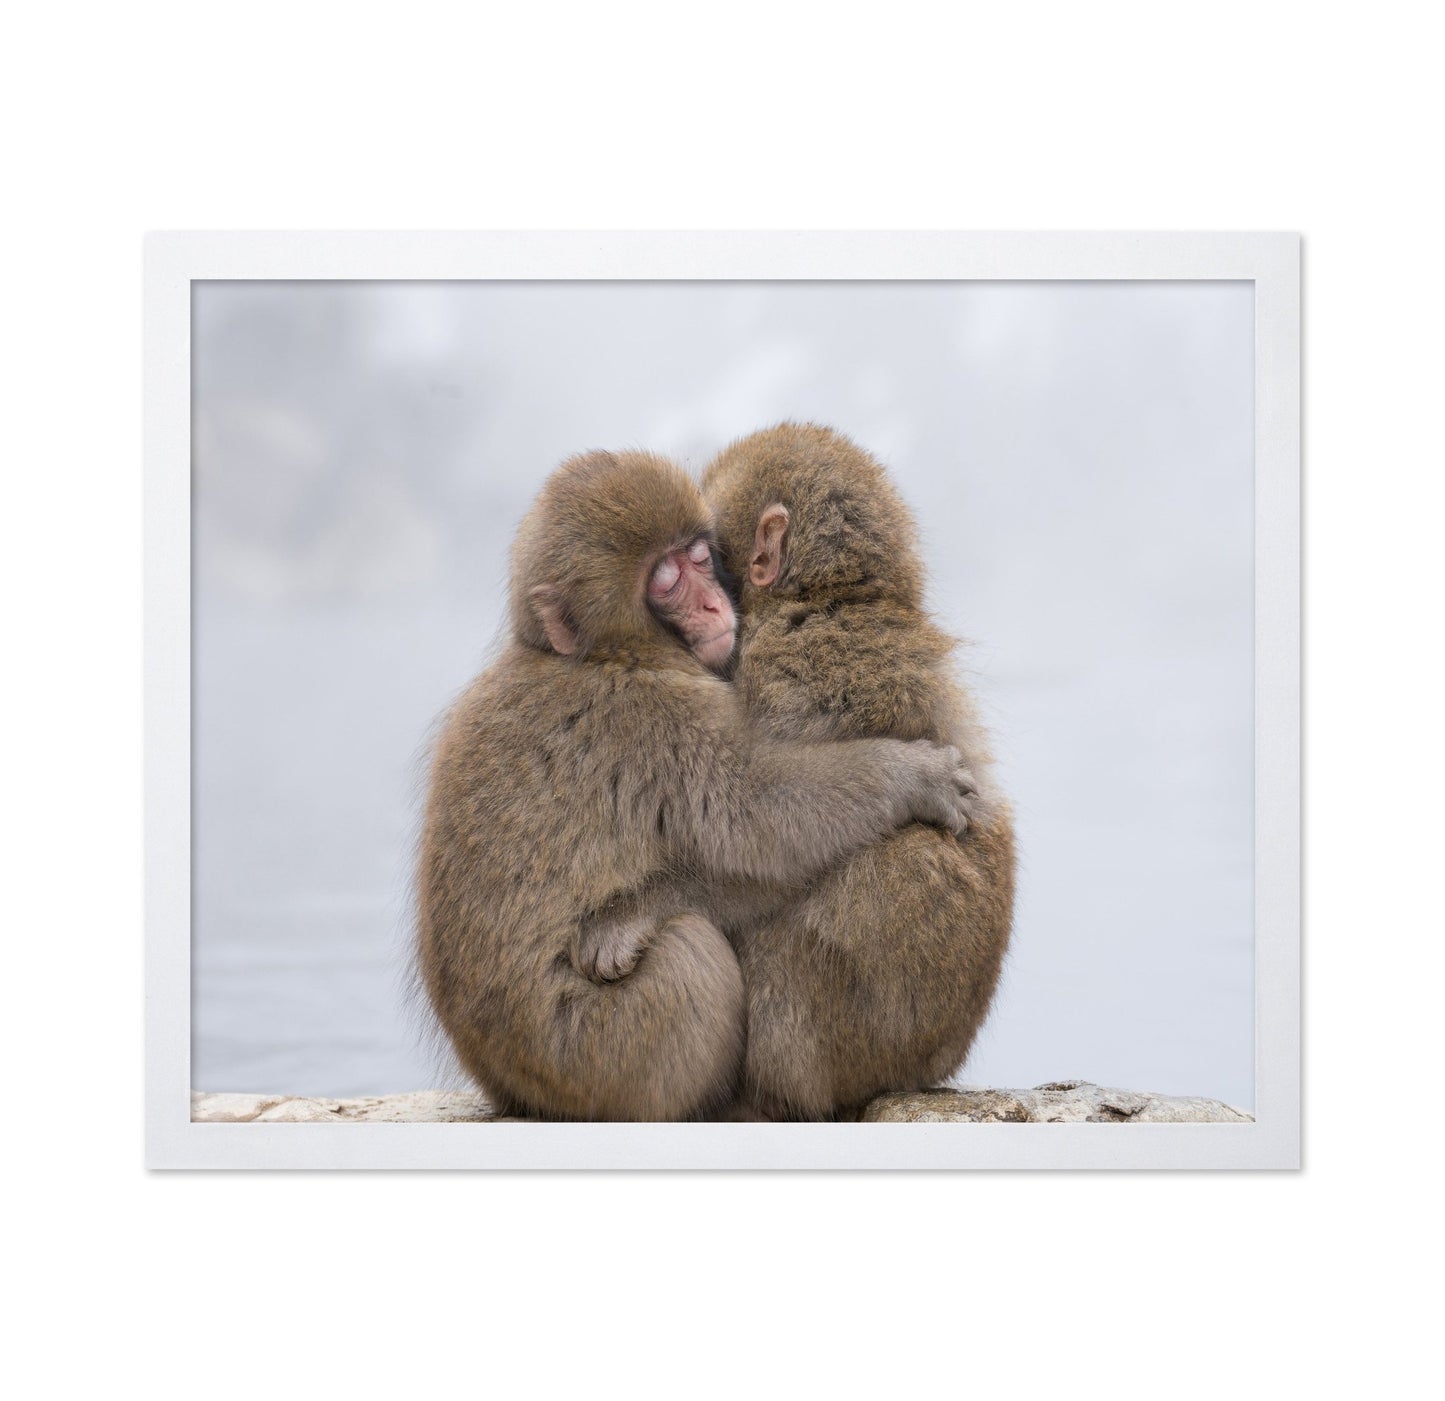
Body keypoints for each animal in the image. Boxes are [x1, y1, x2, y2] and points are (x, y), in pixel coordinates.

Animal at [415, 448, 980, 1122]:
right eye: (666, 581)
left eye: (699, 557)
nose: (713, 604)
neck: (597, 654)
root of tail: (517, 1093)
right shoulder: (651, 713)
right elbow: (760, 822)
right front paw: (915, 777)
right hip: (605, 1057)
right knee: (691, 947)